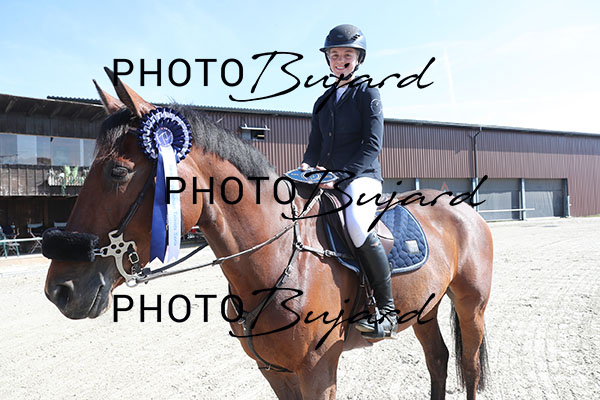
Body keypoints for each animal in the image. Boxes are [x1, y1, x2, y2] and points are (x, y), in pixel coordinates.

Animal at [44, 70, 493, 400]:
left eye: (118, 172)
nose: (60, 290)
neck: (277, 259)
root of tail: (464, 207)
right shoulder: (274, 372)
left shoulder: (318, 372)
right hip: (424, 308)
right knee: (438, 360)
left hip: (470, 306)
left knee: (468, 367)